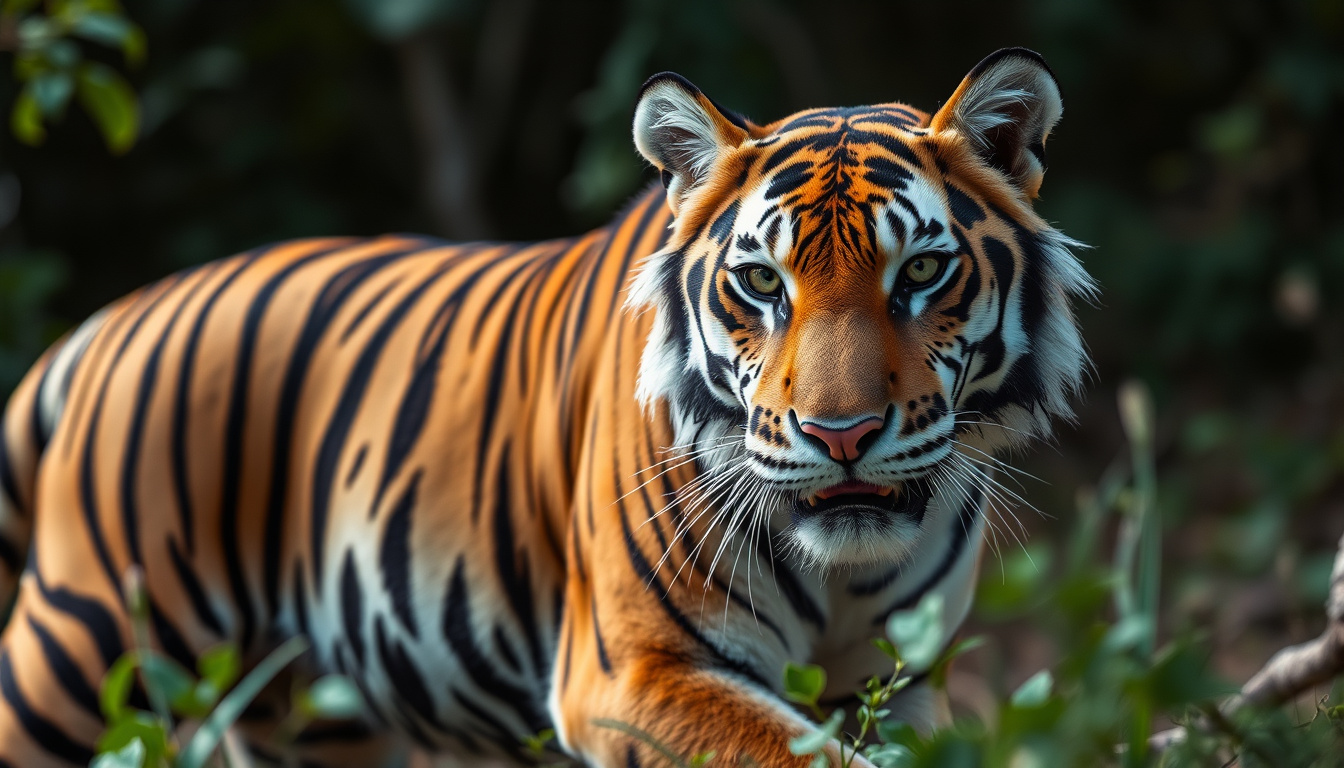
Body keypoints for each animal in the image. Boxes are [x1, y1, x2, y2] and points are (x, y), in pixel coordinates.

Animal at [0, 47, 1092, 767]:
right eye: (761, 284)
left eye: (921, 273)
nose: (843, 436)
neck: (847, 572)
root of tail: (105, 325)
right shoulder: (635, 673)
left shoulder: (895, 682)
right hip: (78, 643)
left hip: (311, 714)